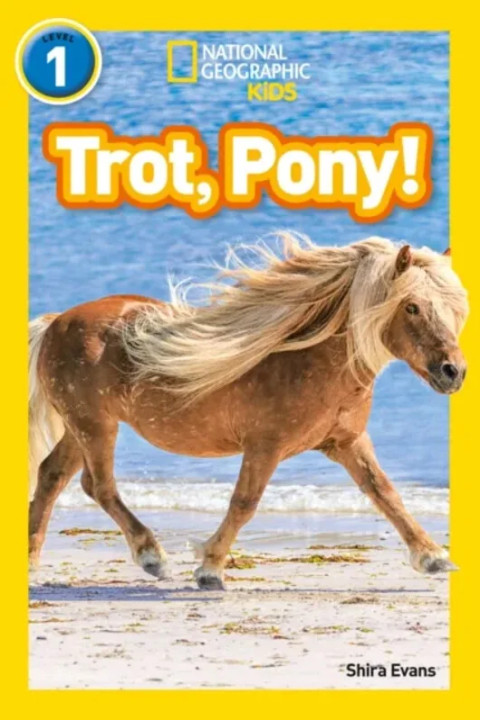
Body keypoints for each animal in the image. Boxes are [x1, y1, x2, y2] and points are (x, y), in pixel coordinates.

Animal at [28, 233, 468, 590]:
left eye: (454, 309)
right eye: (411, 307)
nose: (454, 372)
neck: (308, 358)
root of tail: (57, 322)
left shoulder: (347, 442)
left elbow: (386, 494)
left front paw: (433, 557)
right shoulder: (265, 446)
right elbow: (244, 503)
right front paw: (209, 569)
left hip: (81, 428)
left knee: (52, 475)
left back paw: (31, 562)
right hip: (95, 426)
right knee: (99, 486)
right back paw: (153, 557)